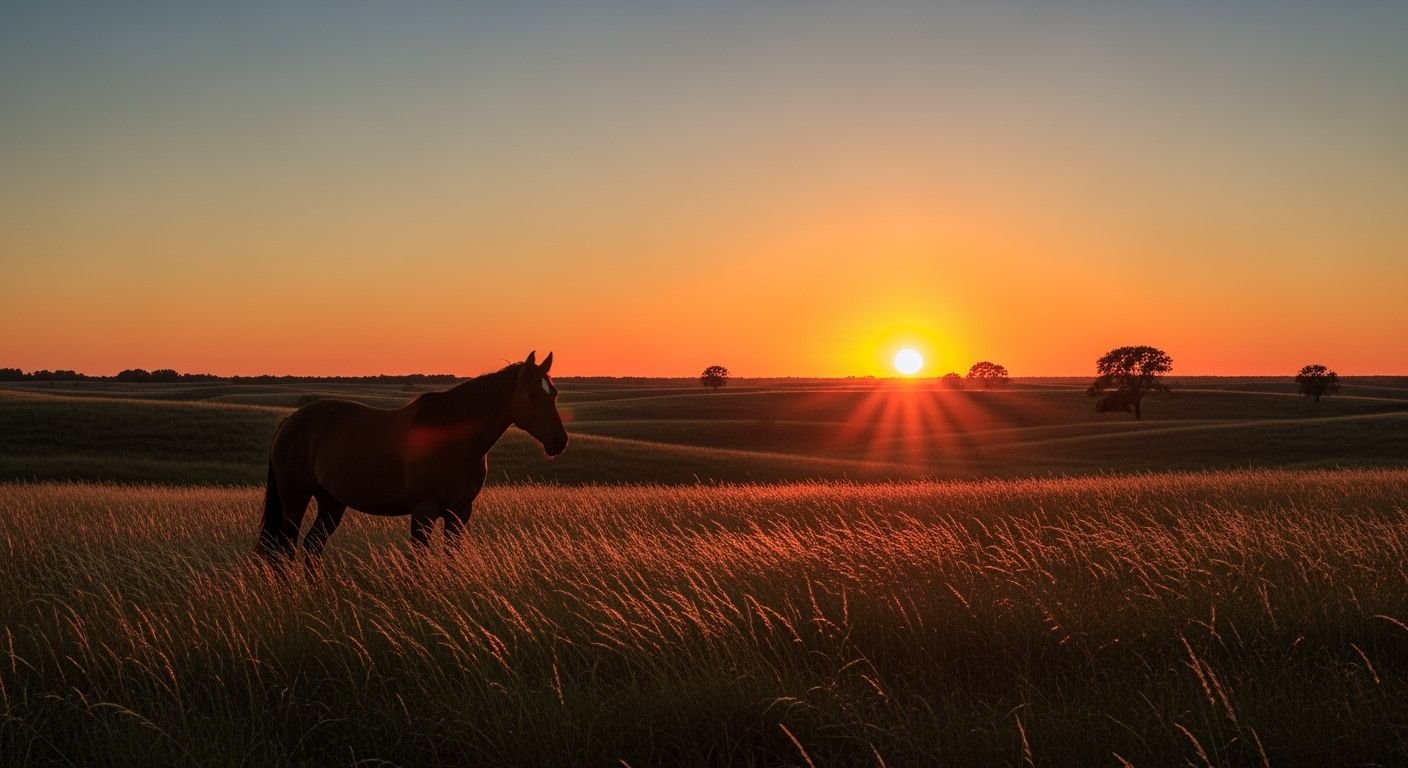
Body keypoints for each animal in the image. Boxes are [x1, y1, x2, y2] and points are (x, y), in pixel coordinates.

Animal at [255, 351, 567, 559]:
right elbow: (418, 562)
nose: (559, 441)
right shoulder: (423, 511)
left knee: (312, 547)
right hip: (295, 499)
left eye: (554, 393)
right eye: (532, 395)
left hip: (331, 502)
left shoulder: (459, 513)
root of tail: (290, 421)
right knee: (283, 551)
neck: (453, 442)